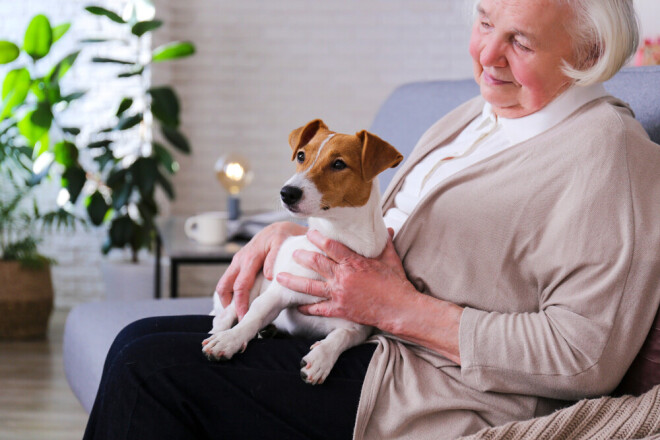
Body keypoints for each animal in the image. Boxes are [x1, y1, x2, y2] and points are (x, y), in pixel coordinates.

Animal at [202, 119, 402, 384]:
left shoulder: (356, 326)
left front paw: (321, 358)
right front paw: (230, 340)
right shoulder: (278, 293)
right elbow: (252, 316)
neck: (338, 237)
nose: (287, 192)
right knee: (231, 310)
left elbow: (341, 338)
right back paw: (223, 329)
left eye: (339, 164)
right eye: (301, 155)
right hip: (252, 279)